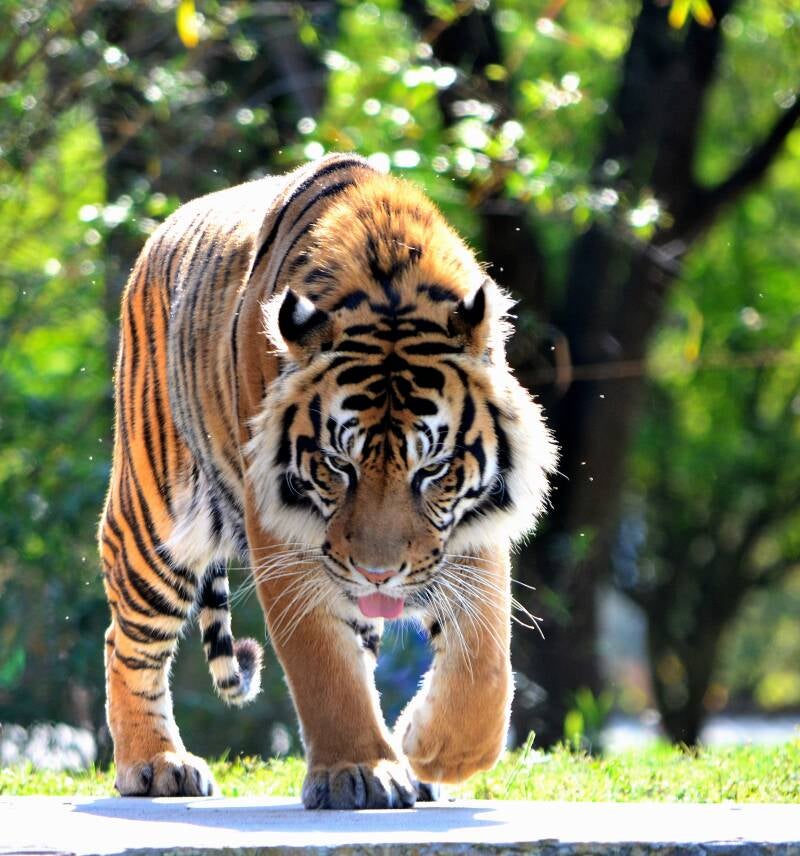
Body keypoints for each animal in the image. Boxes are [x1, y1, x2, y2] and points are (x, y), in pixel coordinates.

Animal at [99, 152, 557, 809]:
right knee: (126, 643)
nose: (377, 573)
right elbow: (323, 664)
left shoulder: (468, 526)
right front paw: (358, 771)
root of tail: (158, 236)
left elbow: (484, 657)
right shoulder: (283, 531)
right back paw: (157, 764)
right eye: (340, 466)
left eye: (432, 470)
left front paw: (432, 750)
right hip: (153, 523)